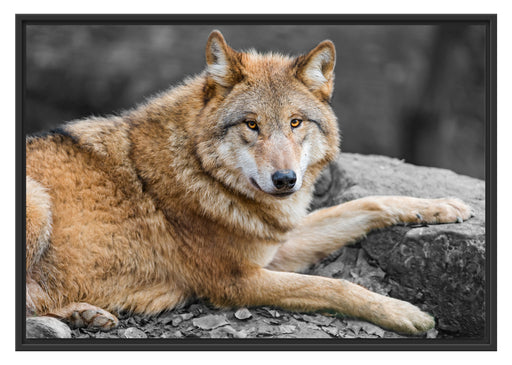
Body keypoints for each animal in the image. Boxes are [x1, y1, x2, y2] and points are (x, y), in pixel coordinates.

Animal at [25, 29, 472, 334]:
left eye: (295, 122)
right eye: (252, 125)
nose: (285, 180)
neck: (202, 171)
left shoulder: (275, 245)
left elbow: (367, 203)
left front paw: (442, 206)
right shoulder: (239, 280)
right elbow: (336, 287)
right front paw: (405, 312)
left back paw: (85, 313)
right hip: (37, 202)